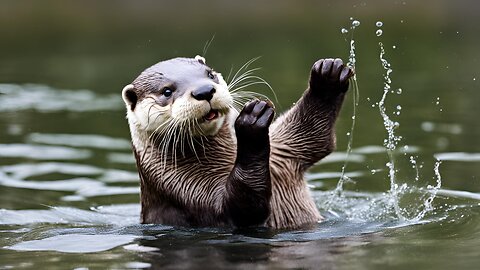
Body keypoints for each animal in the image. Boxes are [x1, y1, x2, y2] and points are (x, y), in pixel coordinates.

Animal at [120, 56, 352, 229]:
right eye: (166, 91)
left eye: (210, 74)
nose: (204, 91)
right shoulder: (186, 190)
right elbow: (243, 209)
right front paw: (251, 124)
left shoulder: (283, 151)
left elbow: (316, 135)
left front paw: (327, 78)